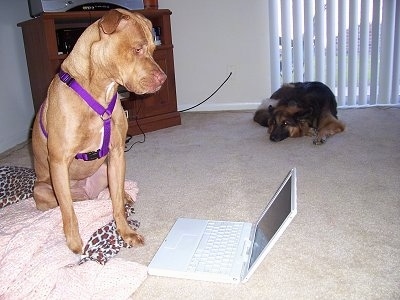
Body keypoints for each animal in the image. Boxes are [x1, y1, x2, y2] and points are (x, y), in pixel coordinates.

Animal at [31, 9, 167, 253]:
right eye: (138, 49)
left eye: (153, 49)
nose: (164, 79)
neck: (100, 90)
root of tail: (87, 193)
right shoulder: (58, 160)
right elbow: (69, 212)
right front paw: (74, 243)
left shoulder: (117, 153)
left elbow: (117, 205)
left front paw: (126, 233)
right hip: (43, 189)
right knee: (69, 203)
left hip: (106, 170)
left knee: (115, 191)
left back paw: (124, 195)